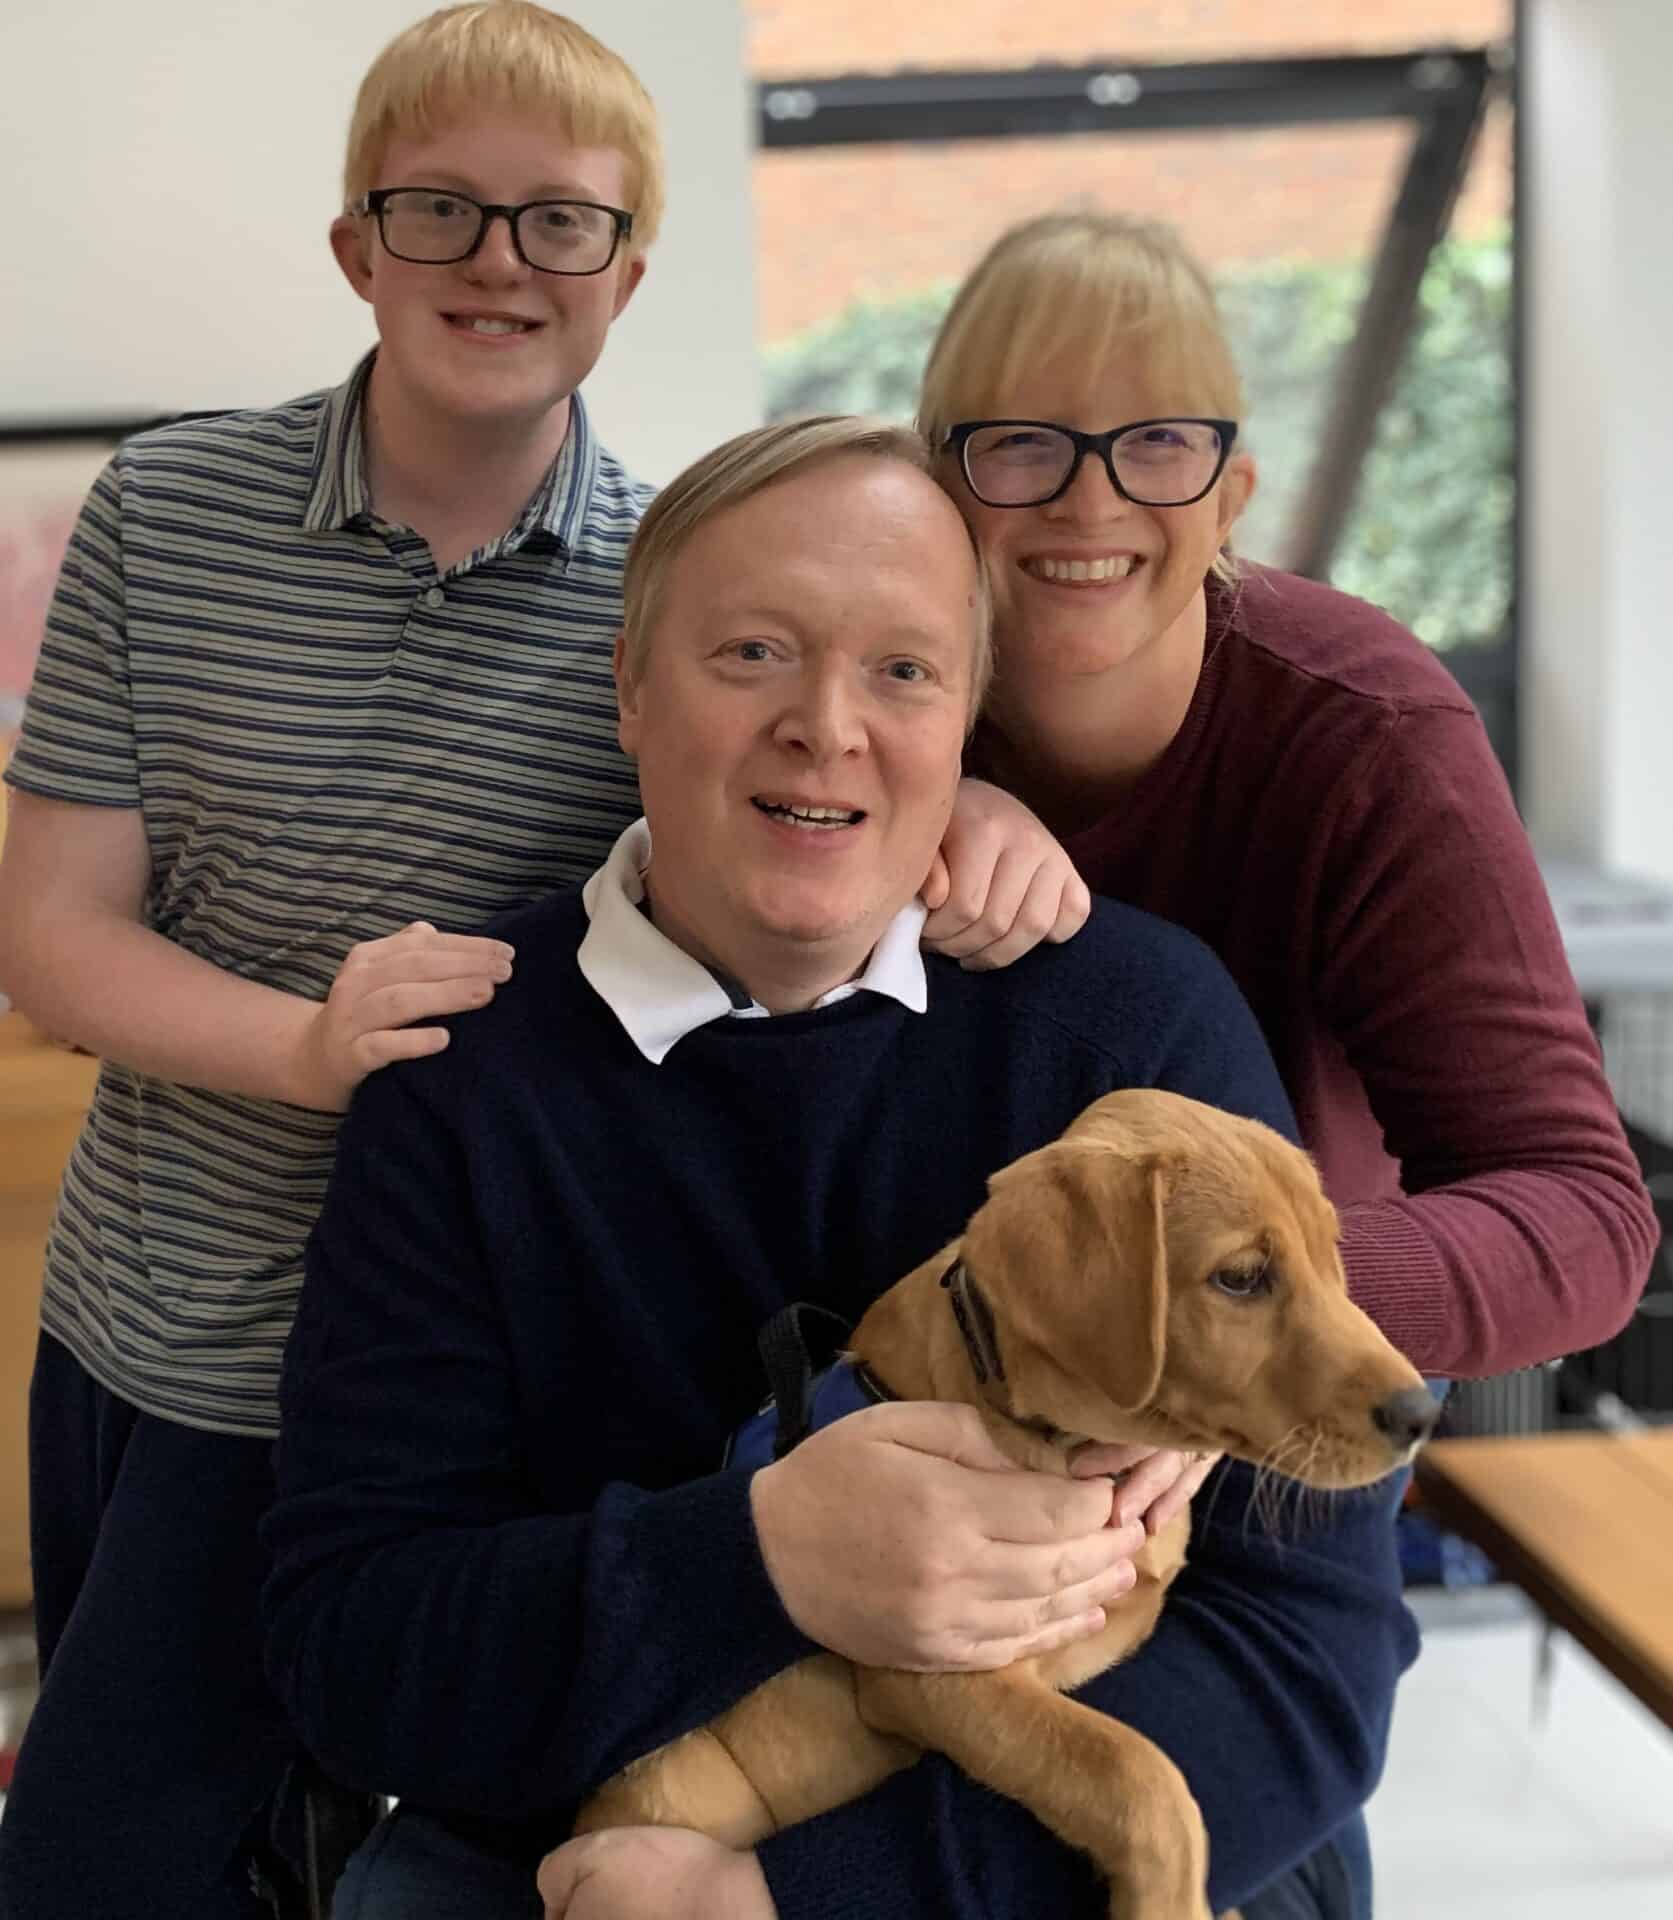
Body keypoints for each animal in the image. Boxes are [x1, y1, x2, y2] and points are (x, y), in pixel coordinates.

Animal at [576, 1098, 1436, 1920]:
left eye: (1331, 1255)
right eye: (1239, 1278)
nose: (1422, 1415)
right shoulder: (938, 1675)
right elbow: (1133, 1770)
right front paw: (1169, 1901)